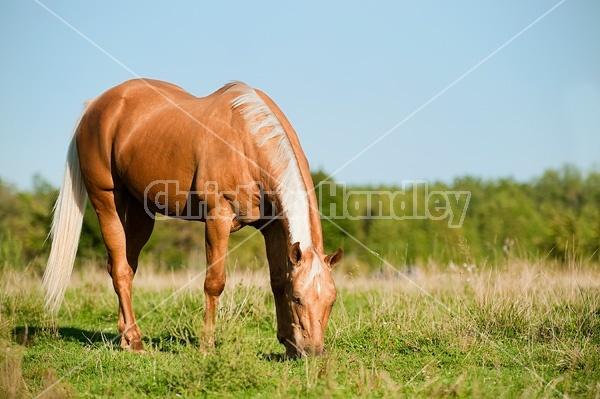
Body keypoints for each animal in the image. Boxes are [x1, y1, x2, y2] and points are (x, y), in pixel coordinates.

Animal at [42, 79, 342, 358]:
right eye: (298, 298)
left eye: (332, 300)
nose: (314, 352)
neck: (245, 142)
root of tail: (95, 106)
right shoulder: (217, 221)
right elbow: (215, 283)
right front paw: (206, 346)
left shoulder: (271, 228)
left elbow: (277, 280)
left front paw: (288, 346)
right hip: (106, 201)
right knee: (120, 270)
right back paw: (136, 341)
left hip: (140, 210)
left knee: (123, 265)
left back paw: (125, 337)